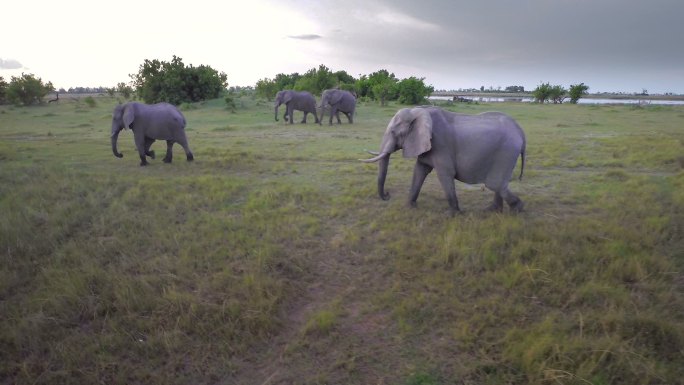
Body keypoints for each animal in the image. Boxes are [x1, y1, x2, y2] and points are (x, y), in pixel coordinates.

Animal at [360, 106, 528, 214]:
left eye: (394, 132)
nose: (387, 195)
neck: (419, 111)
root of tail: (520, 131)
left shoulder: (440, 145)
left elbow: (445, 174)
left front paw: (454, 214)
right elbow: (420, 170)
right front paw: (410, 207)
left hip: (506, 152)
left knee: (495, 184)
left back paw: (517, 210)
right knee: (499, 184)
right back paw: (493, 211)